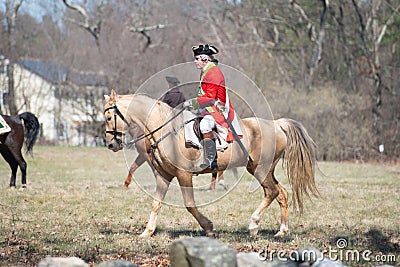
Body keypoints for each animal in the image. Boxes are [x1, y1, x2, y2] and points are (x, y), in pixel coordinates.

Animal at [103, 90, 318, 239]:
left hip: (260, 169)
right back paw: (282, 231)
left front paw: (209, 228)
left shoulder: (183, 175)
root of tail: (276, 124)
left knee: (272, 192)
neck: (164, 129)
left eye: (108, 118)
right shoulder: (164, 175)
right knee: (282, 193)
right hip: (264, 170)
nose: (111, 144)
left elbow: (190, 204)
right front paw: (147, 232)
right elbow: (156, 203)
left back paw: (254, 225)